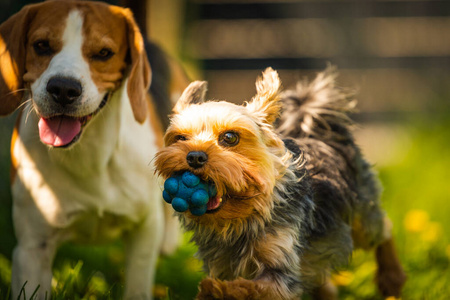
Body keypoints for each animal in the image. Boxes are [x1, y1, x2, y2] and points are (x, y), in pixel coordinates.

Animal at [0, 1, 187, 298]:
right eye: (41, 45)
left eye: (103, 53)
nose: (63, 89)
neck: (90, 155)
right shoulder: (31, 248)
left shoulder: (145, 231)